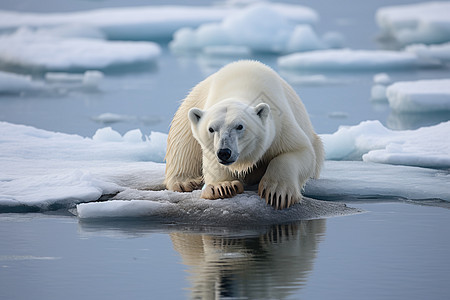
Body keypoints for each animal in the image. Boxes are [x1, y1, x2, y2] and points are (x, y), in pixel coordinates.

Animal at [165, 60, 324, 210]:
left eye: (240, 126)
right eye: (211, 129)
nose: (224, 152)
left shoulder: (281, 121)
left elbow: (299, 151)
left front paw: (277, 192)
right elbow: (211, 161)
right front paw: (223, 186)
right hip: (188, 109)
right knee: (182, 144)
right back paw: (187, 182)